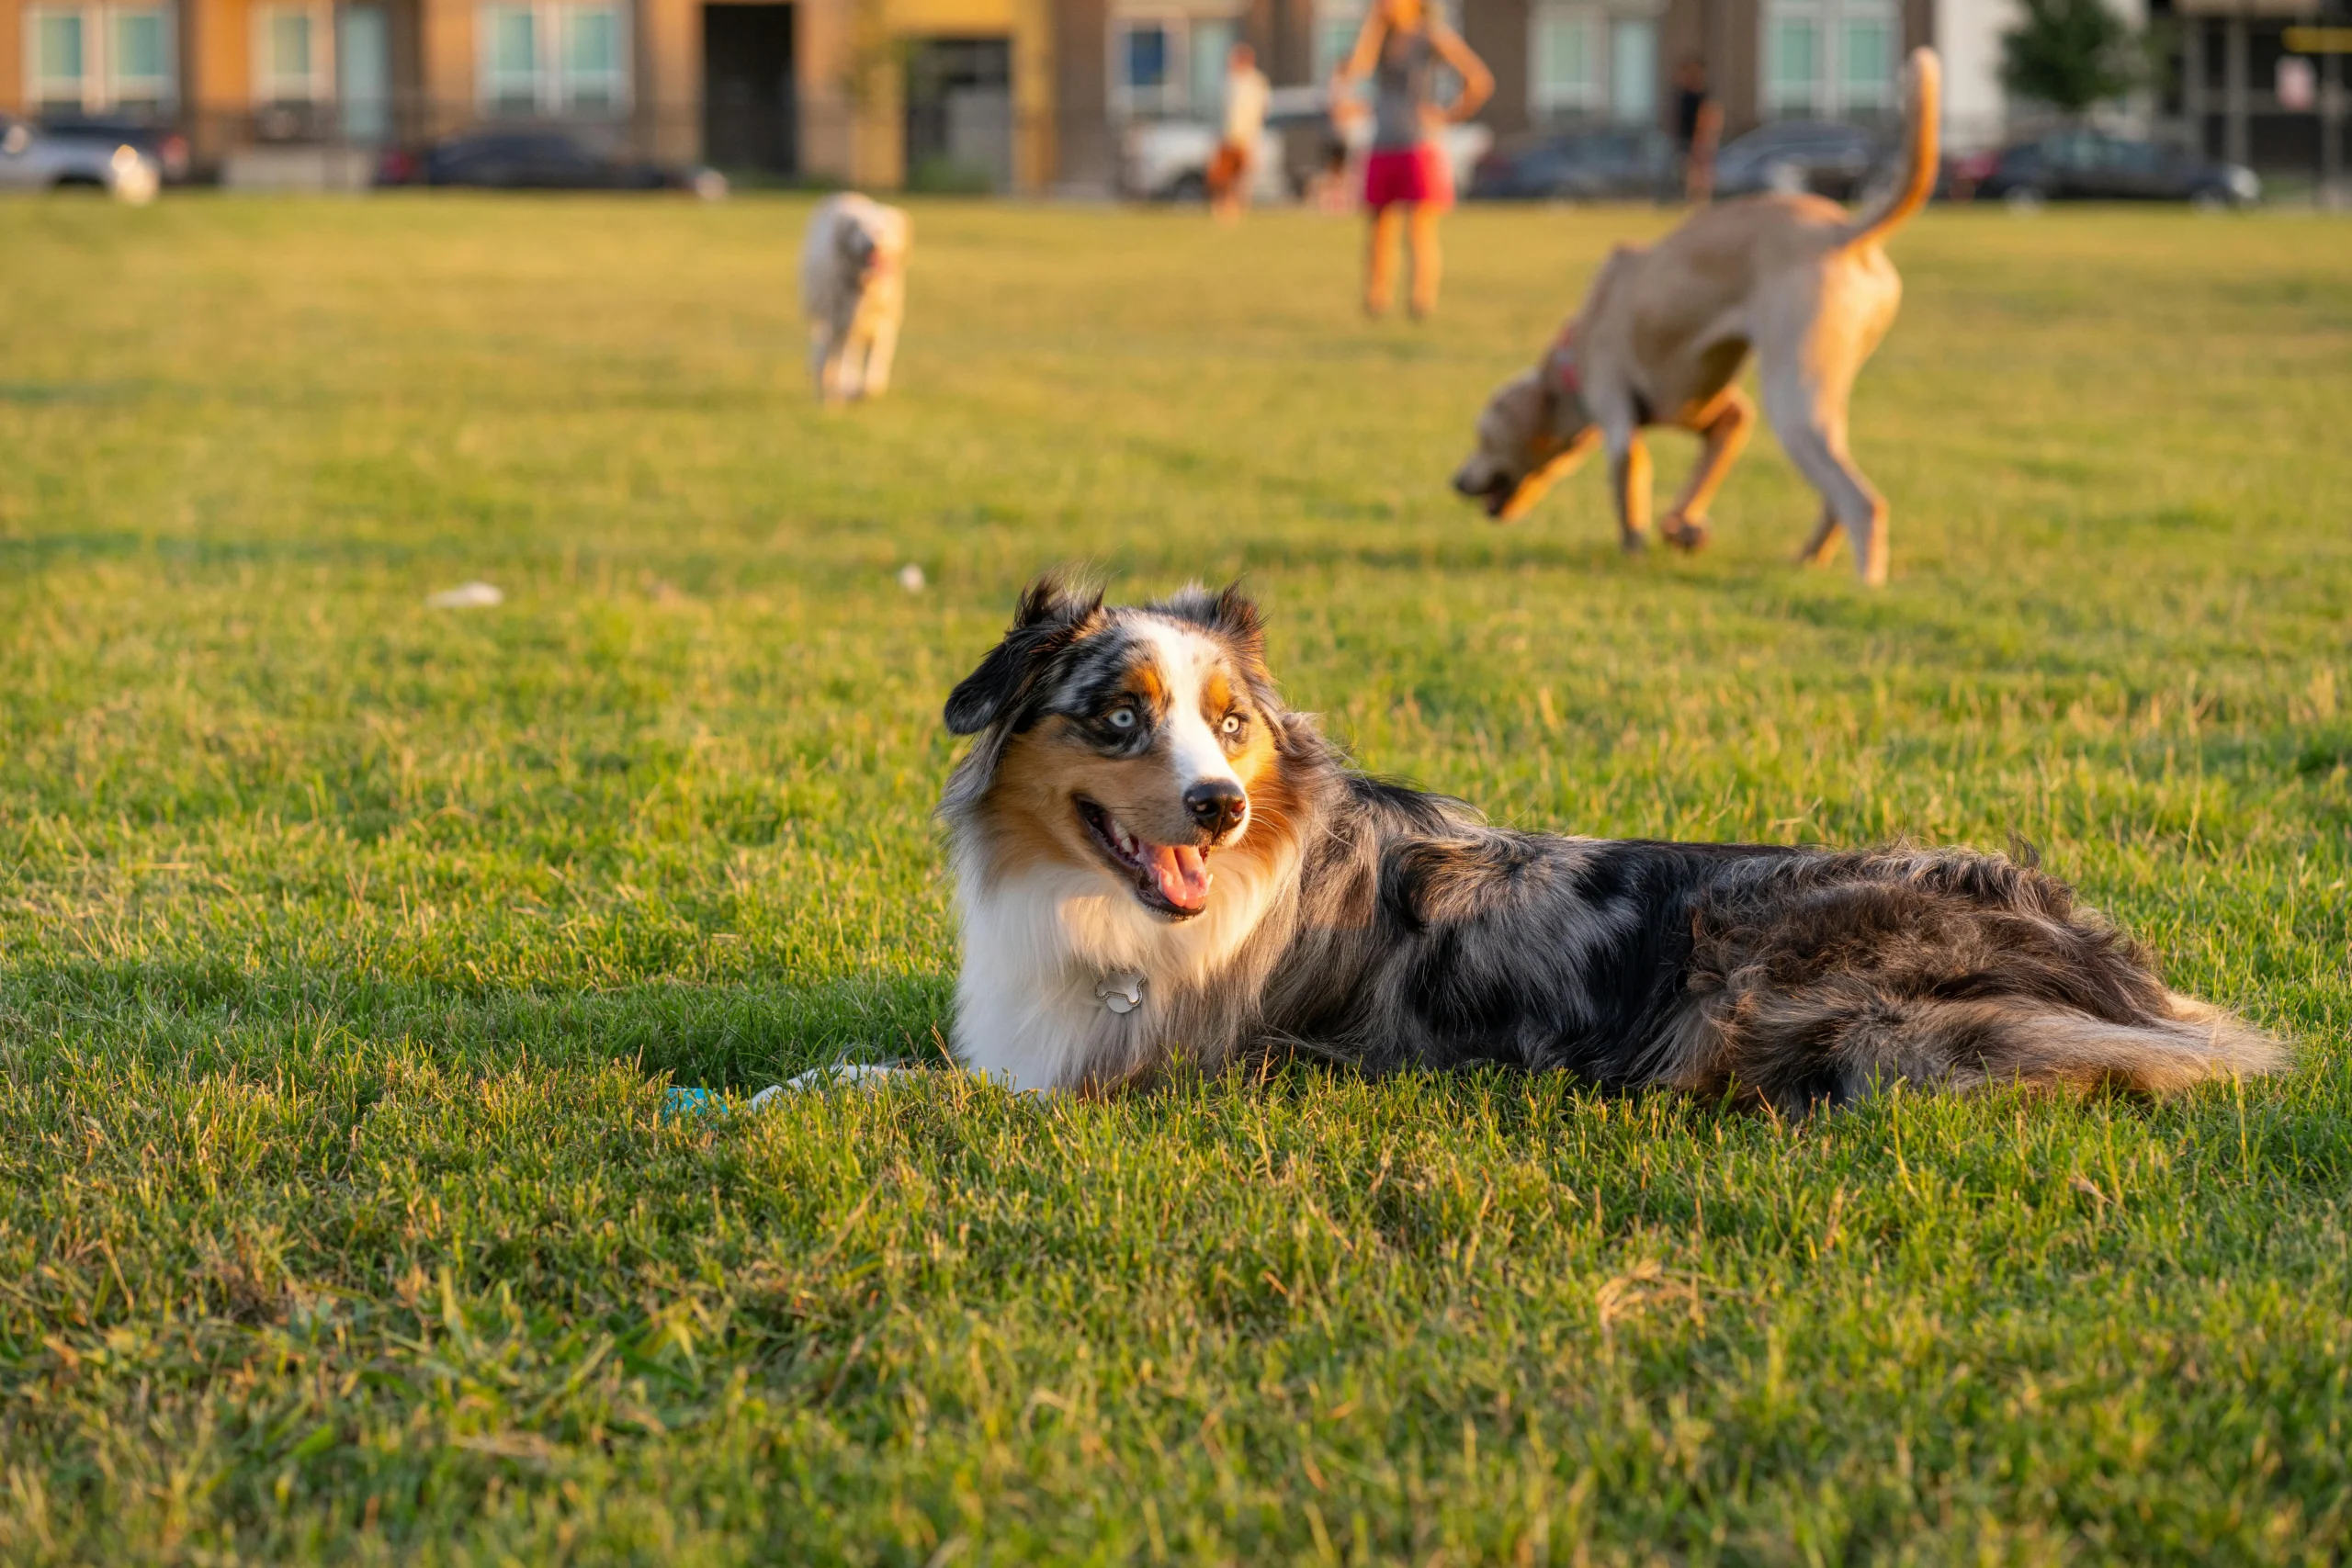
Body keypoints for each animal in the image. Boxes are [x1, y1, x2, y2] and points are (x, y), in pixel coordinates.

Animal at [808, 192, 917, 404]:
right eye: (859, 230)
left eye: (882, 230)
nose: (872, 246)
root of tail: (846, 195)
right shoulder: (844, 323)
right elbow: (843, 362)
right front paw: (847, 388)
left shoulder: (883, 324)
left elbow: (873, 373)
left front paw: (863, 388)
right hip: (826, 320)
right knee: (828, 356)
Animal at [935, 576, 2277, 1104]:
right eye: (1119, 717)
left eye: (1229, 725)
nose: (1219, 804)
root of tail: (2114, 971)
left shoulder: (1131, 1073)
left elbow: (921, 1083)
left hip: (1765, 972)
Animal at [1448, 51, 1947, 587]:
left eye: (1483, 436)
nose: (1455, 480)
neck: (1569, 360)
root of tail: (1843, 233)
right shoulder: (1723, 418)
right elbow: (1695, 485)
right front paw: (1683, 528)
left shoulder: (1619, 422)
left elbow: (1628, 497)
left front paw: (1637, 552)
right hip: (1826, 389)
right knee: (1835, 494)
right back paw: (1806, 558)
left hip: (1793, 397)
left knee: (1862, 503)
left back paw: (1865, 584)